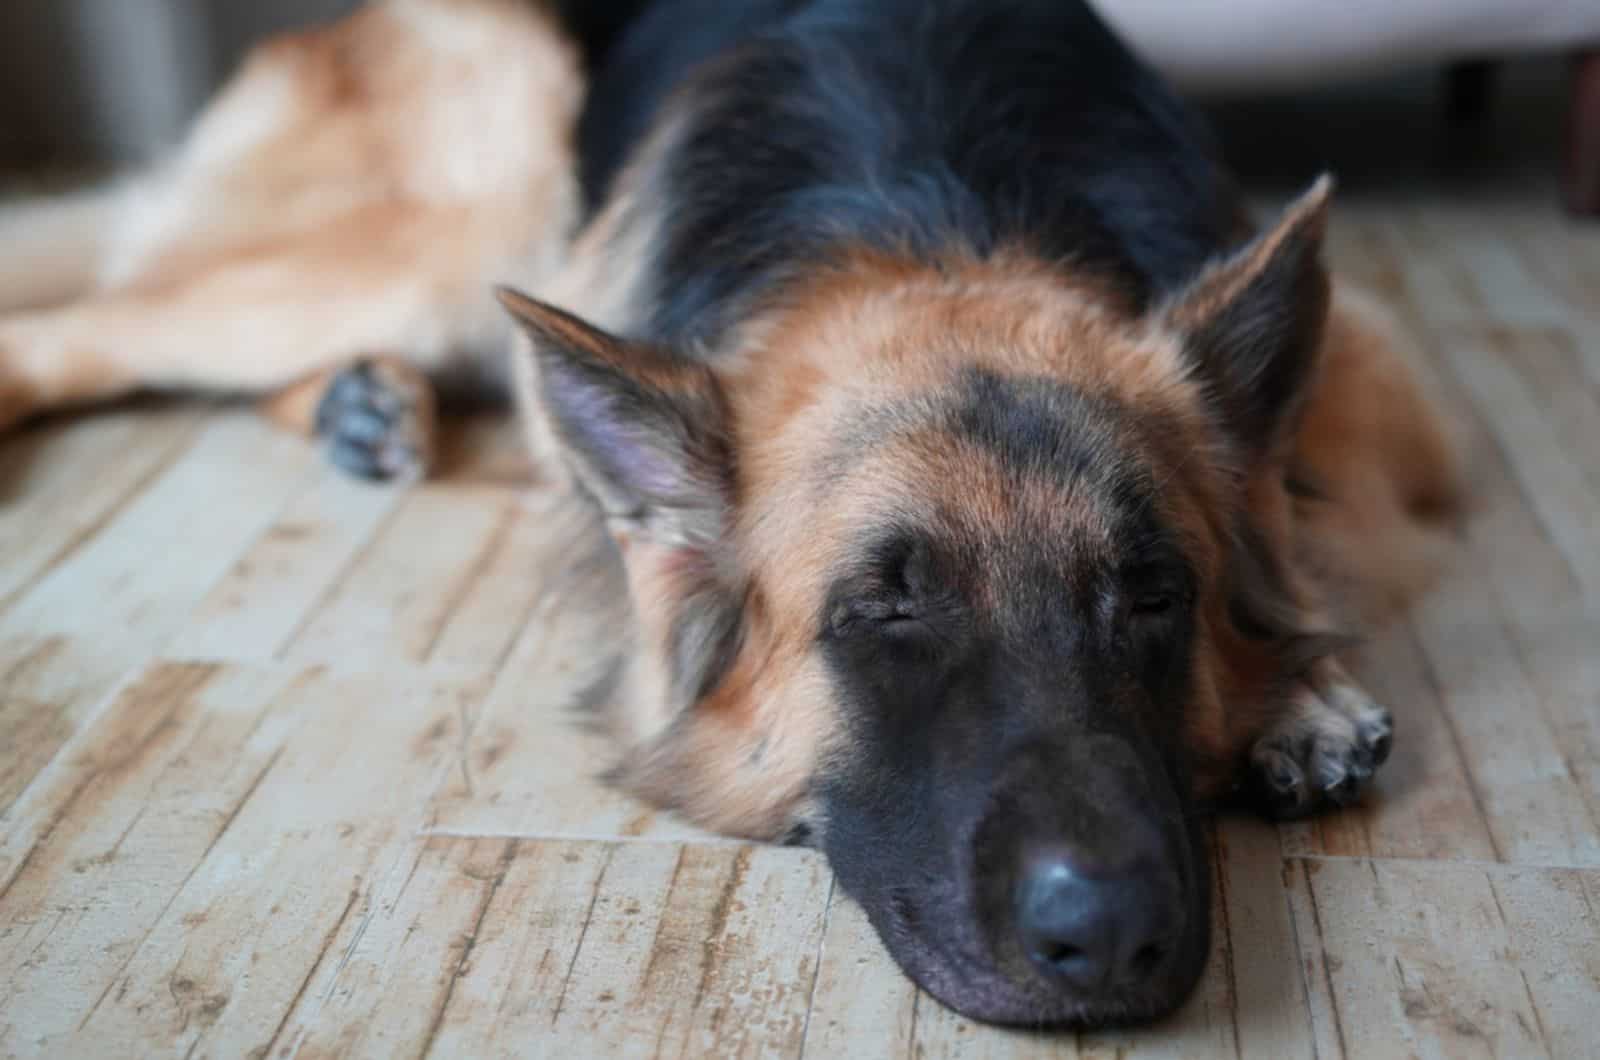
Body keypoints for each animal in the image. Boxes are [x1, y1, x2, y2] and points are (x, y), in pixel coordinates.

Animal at [0, 0, 1465, 1031]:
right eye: (884, 611)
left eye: (1157, 593)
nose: (1105, 934)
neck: (931, 213)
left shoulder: (1374, 381)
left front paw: (1300, 687)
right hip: (451, 223)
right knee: (83, 327)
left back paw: (369, 407)